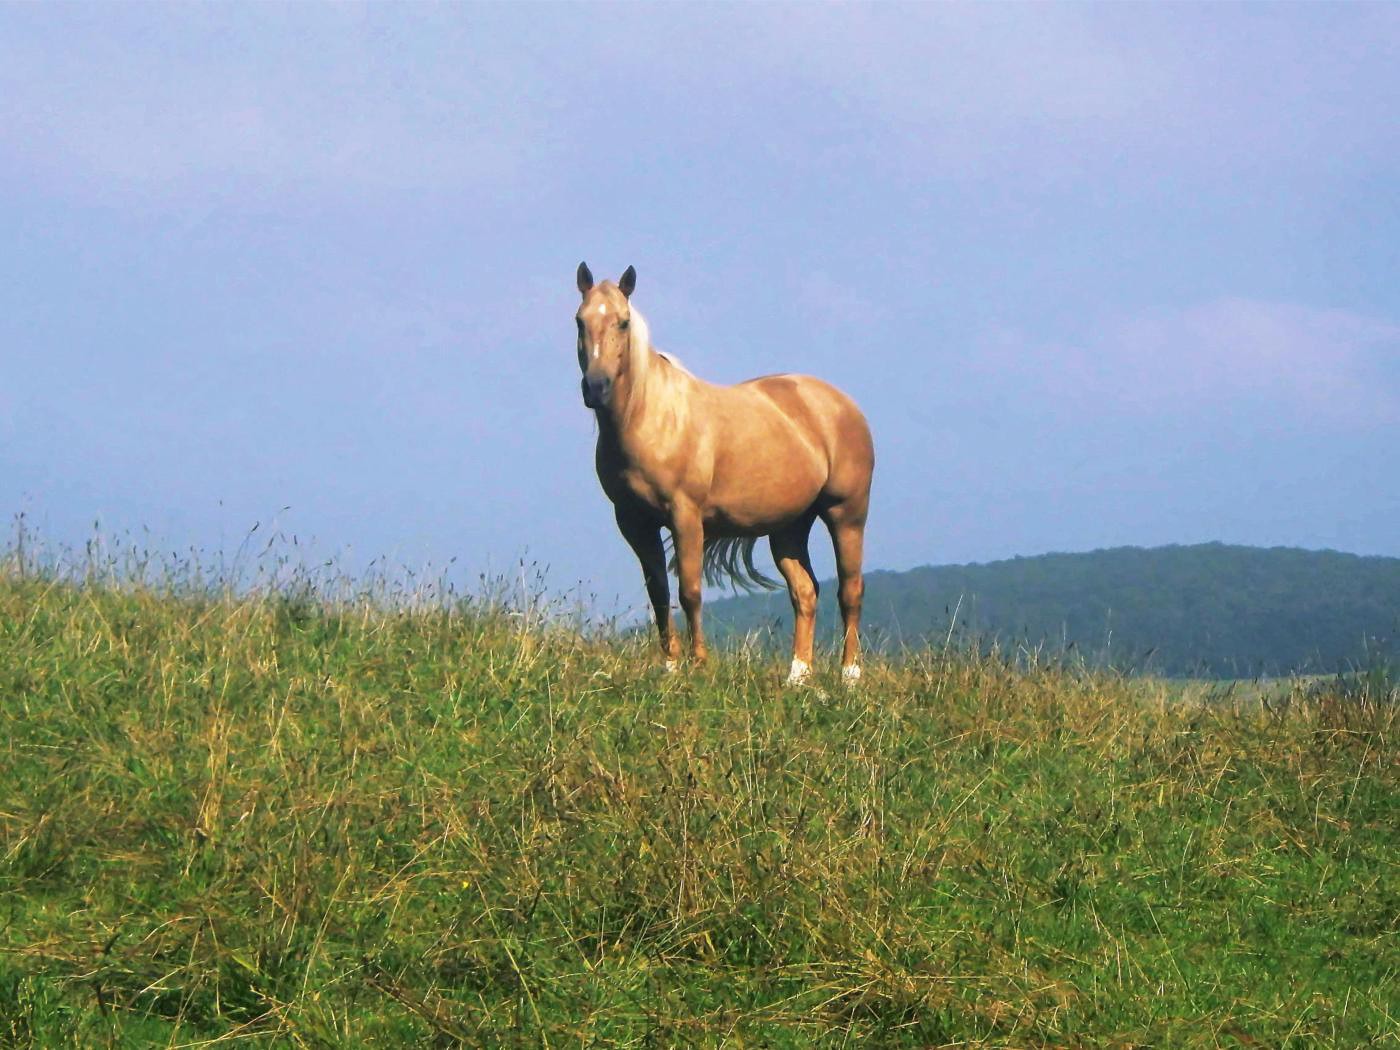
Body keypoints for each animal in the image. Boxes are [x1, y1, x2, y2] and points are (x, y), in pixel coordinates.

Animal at [574, 263, 868, 686]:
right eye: (580, 320)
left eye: (623, 322)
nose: (596, 387)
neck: (650, 417)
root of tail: (839, 403)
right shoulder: (633, 522)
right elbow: (659, 593)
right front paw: (670, 667)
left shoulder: (685, 516)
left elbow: (690, 591)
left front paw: (698, 664)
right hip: (789, 527)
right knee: (805, 592)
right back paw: (798, 676)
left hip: (846, 515)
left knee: (850, 590)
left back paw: (850, 675)